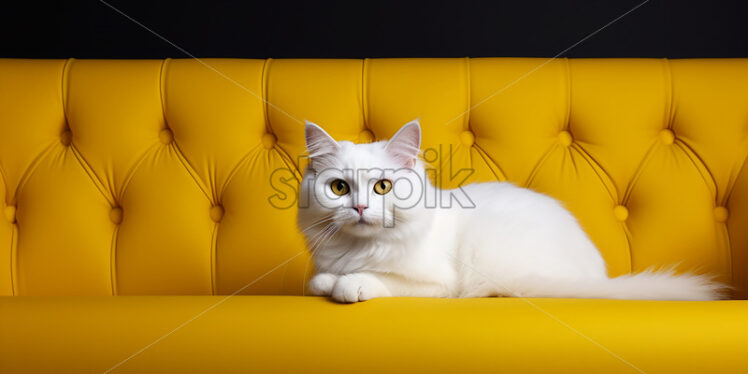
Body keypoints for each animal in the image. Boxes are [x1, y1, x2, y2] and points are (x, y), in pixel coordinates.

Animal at [296, 120, 724, 304]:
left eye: (382, 187)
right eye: (339, 188)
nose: (360, 207)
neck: (358, 249)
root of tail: (599, 279)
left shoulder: (438, 284)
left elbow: (380, 279)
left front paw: (350, 285)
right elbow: (321, 278)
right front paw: (328, 281)